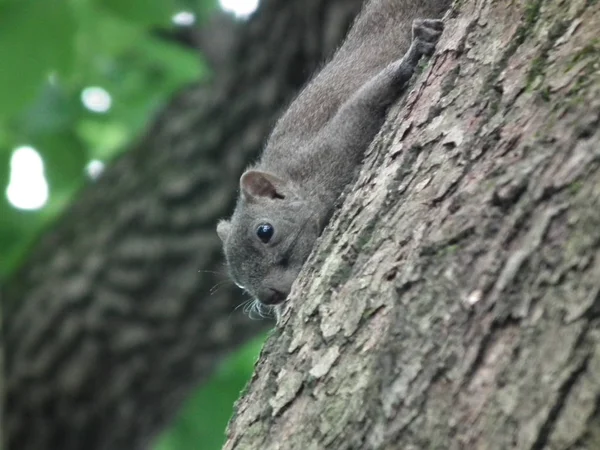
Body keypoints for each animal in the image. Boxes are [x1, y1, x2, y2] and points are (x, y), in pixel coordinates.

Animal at [218, 0, 448, 312]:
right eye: (238, 281)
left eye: (265, 231)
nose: (268, 297)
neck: (296, 175)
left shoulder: (332, 144)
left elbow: (367, 99)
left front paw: (411, 56)